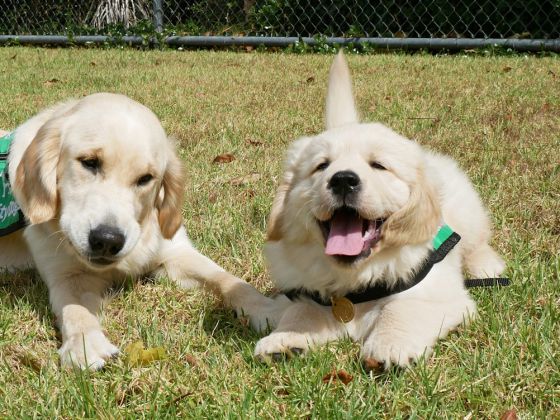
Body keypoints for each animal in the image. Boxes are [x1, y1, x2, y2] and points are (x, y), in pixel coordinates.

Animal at [0, 93, 235, 370]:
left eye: (145, 178)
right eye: (89, 163)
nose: (107, 241)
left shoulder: (176, 253)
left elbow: (227, 280)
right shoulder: (65, 274)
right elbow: (76, 310)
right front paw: (85, 344)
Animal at [212, 51, 506, 368]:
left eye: (378, 165)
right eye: (322, 166)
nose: (343, 179)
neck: (357, 279)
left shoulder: (438, 291)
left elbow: (403, 308)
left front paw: (390, 346)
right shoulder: (307, 292)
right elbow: (300, 311)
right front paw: (284, 339)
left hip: (467, 213)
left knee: (477, 243)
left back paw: (486, 264)